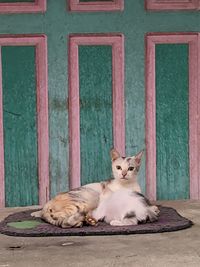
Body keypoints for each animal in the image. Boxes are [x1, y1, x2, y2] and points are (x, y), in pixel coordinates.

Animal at [31, 149, 159, 228]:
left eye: (131, 168)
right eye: (118, 167)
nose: (123, 174)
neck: (126, 186)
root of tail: (47, 205)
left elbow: (153, 207)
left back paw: (85, 221)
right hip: (88, 199)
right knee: (61, 216)